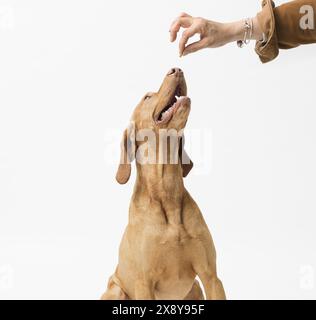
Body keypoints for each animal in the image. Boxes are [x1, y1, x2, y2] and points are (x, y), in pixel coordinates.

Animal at [101, 67, 225, 300]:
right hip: (115, 289)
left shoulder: (211, 277)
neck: (167, 193)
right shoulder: (144, 283)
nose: (176, 69)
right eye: (147, 97)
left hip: (195, 287)